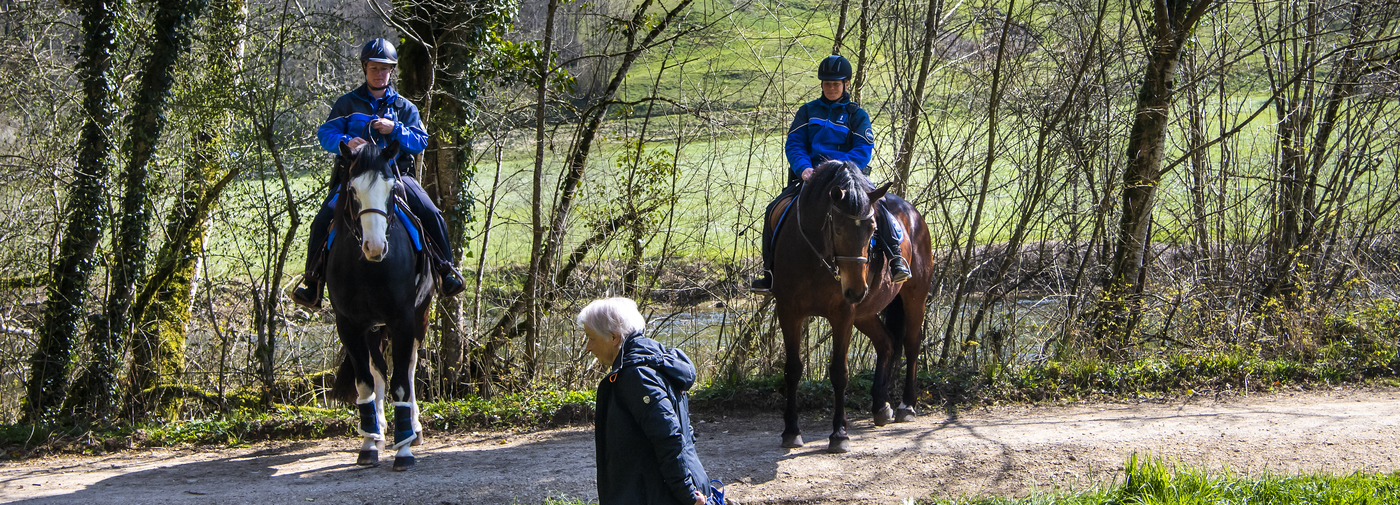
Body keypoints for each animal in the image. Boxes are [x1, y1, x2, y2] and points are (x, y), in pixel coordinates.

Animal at [326, 137, 431, 467]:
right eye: (351, 190)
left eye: (392, 188)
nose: (374, 246)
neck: (370, 268)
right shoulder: (349, 325)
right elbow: (366, 382)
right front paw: (369, 443)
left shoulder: (403, 320)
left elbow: (401, 382)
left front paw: (404, 448)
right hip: (373, 329)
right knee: (378, 371)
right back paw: (381, 430)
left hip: (420, 317)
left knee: (408, 368)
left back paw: (414, 428)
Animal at [767, 159, 929, 450]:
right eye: (838, 229)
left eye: (873, 228)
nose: (856, 290)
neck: (816, 257)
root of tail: (913, 214)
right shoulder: (789, 313)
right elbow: (793, 370)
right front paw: (791, 431)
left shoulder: (842, 316)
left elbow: (839, 373)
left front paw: (839, 433)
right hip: (865, 313)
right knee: (886, 343)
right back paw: (880, 406)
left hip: (915, 298)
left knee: (911, 344)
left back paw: (907, 406)